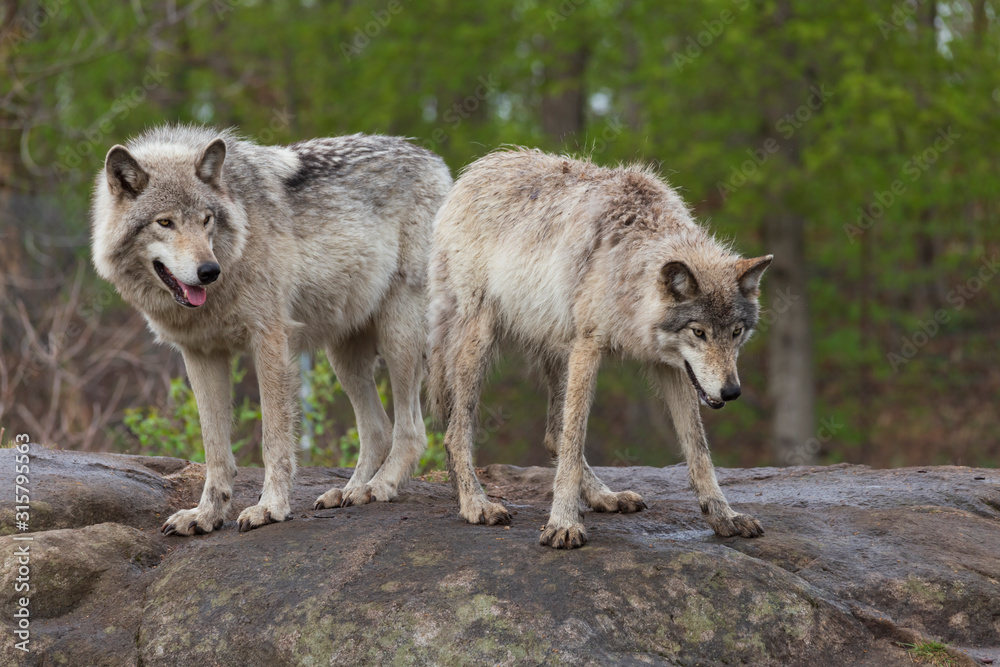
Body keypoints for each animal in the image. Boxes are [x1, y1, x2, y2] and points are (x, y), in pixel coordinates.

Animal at [91, 125, 452, 535]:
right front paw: (206, 515)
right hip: (344, 357)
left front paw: (271, 508)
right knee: (377, 429)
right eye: (164, 222)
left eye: (206, 219)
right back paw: (348, 491)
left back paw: (379, 486)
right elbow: (214, 446)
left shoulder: (270, 340)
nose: (208, 271)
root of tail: (435, 161)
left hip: (398, 336)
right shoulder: (201, 354)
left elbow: (274, 439)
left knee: (411, 430)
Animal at [428, 148, 771, 549]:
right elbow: (576, 440)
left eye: (736, 333)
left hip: (557, 347)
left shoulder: (669, 367)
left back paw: (604, 496)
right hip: (481, 341)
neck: (628, 270)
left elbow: (698, 450)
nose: (731, 392)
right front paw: (563, 523)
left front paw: (723, 516)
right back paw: (475, 504)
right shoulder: (588, 348)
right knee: (456, 434)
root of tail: (475, 170)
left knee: (552, 435)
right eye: (699, 332)